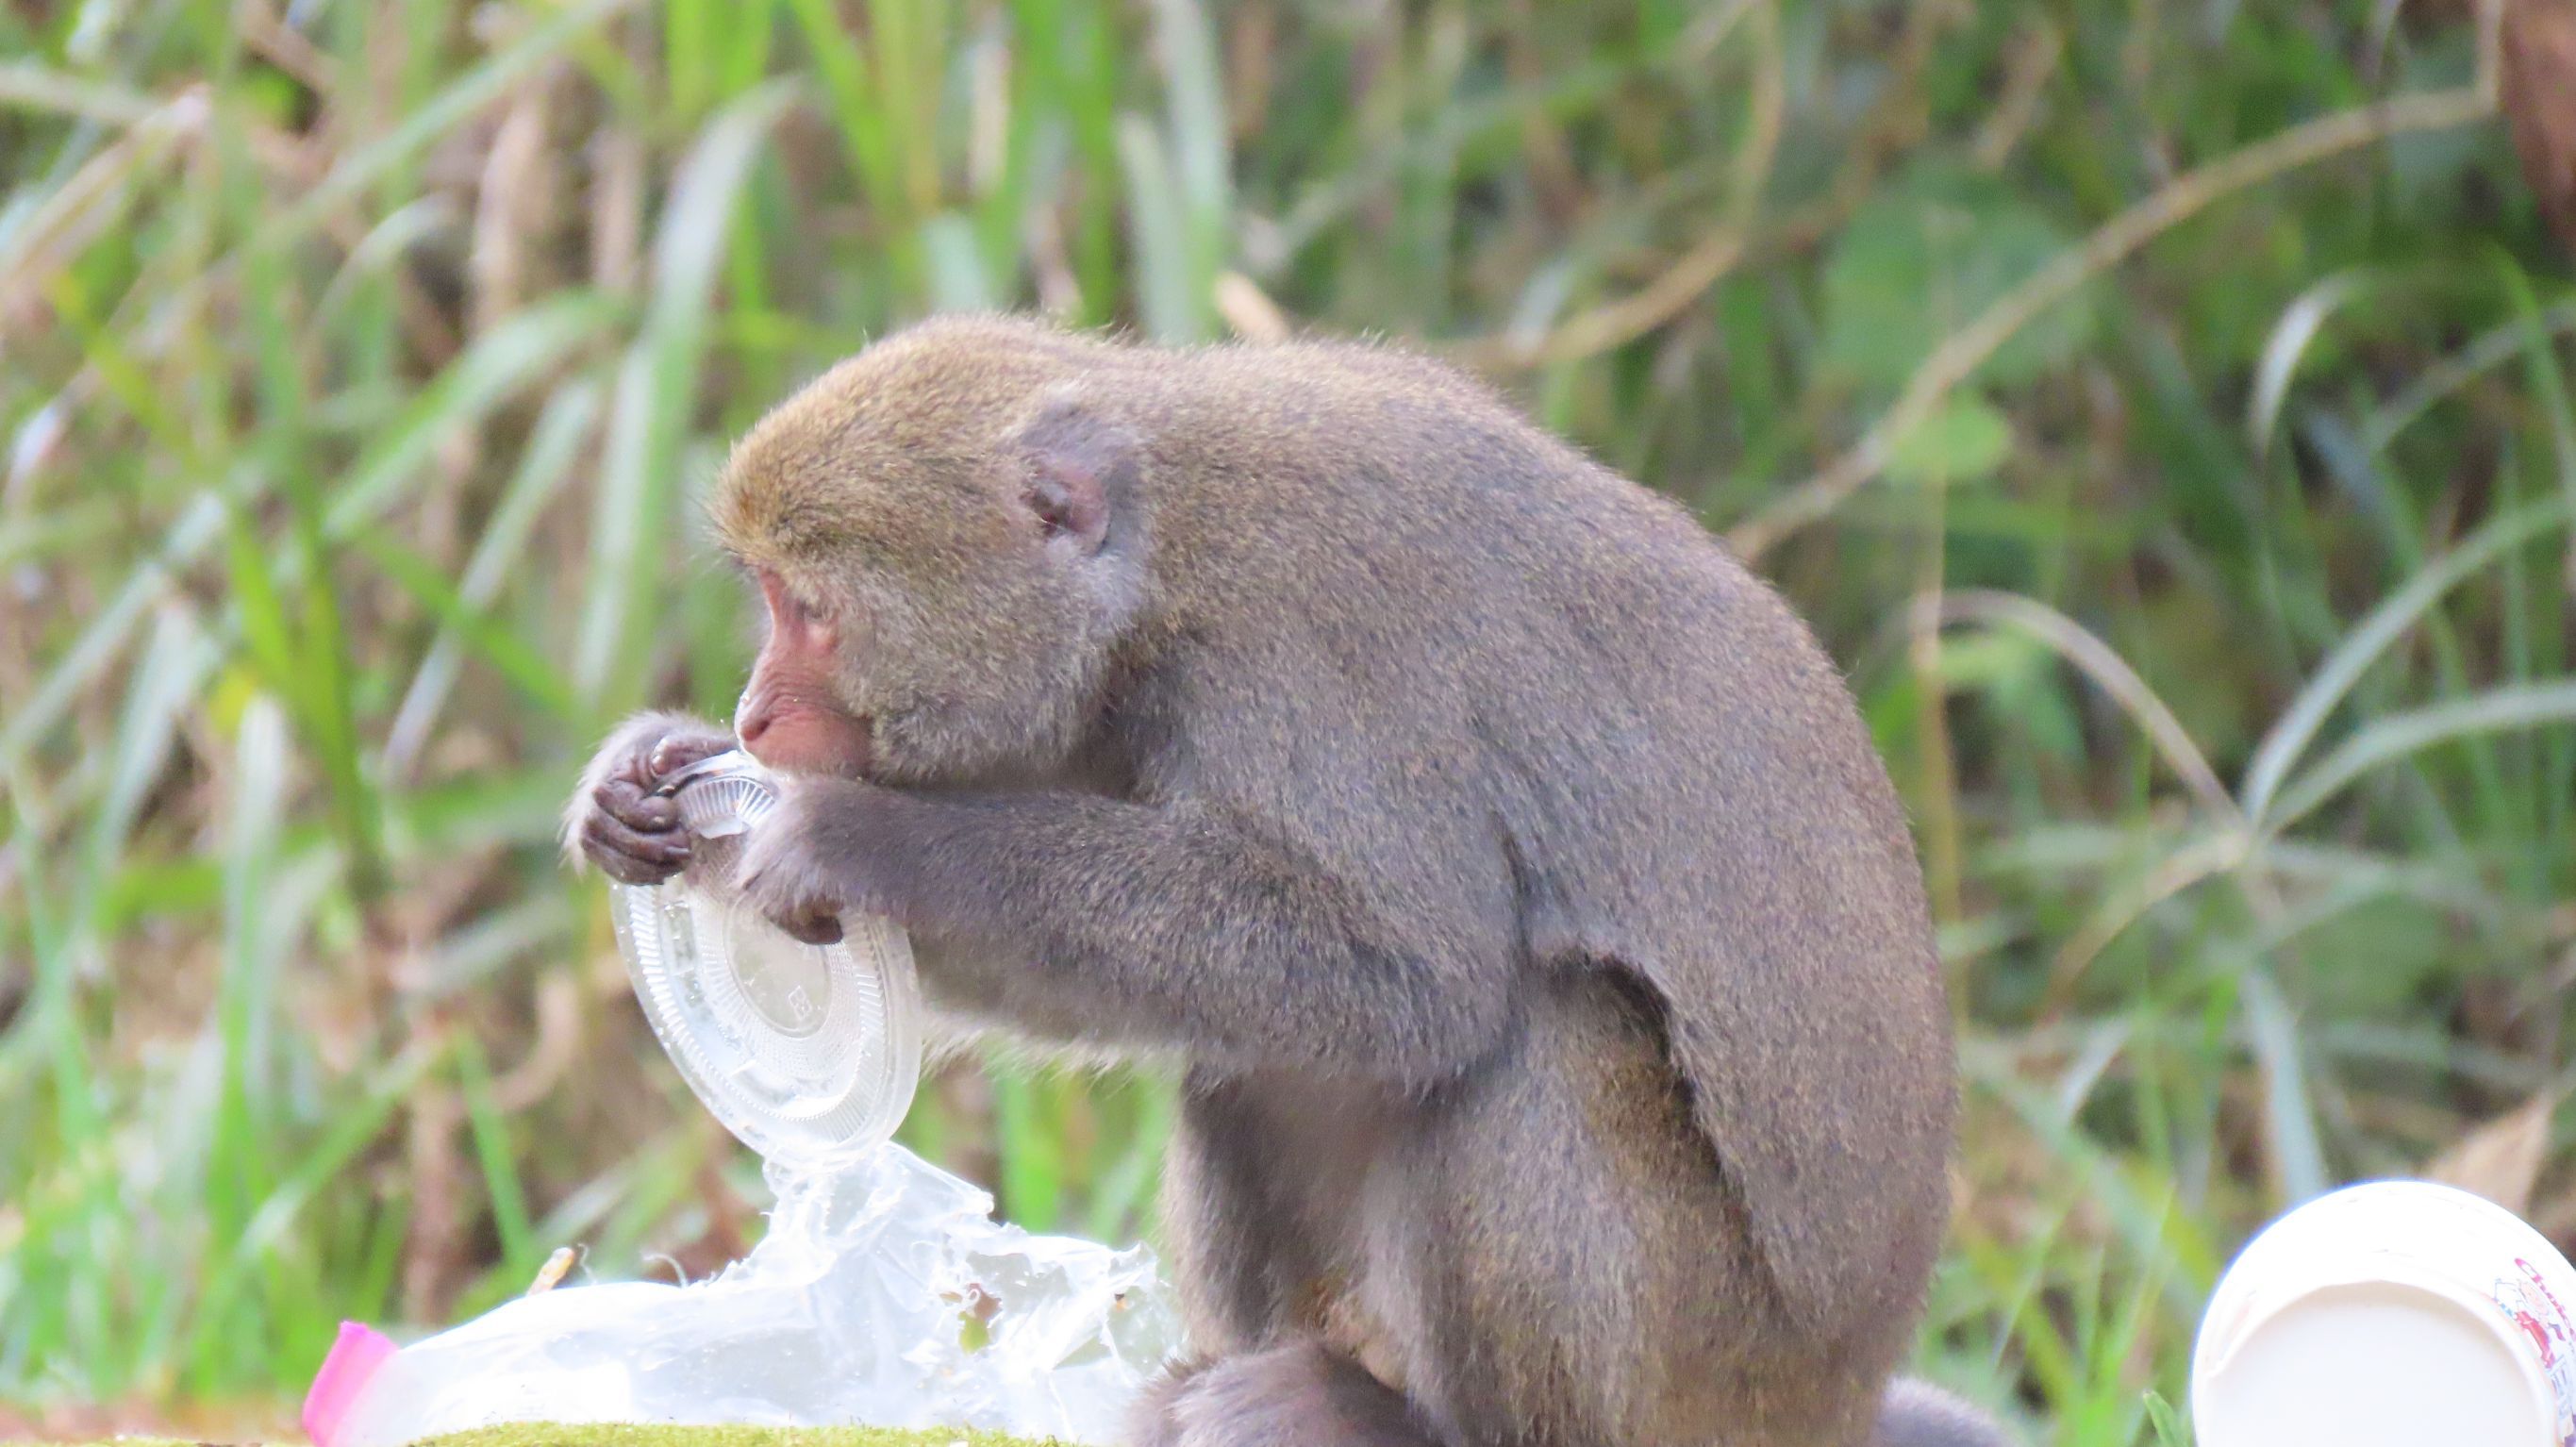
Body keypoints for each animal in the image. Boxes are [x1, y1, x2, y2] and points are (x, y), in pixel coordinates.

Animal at [564, 315, 2009, 1441]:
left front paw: (859, 837)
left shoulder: (1312, 649)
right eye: (764, 599)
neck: (1167, 564)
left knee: (1537, 1037)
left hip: (1709, 1365)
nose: (752, 715)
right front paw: (646, 781)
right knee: (1246, 1053)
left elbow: (1401, 974)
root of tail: (1830, 1401)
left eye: (808, 610)